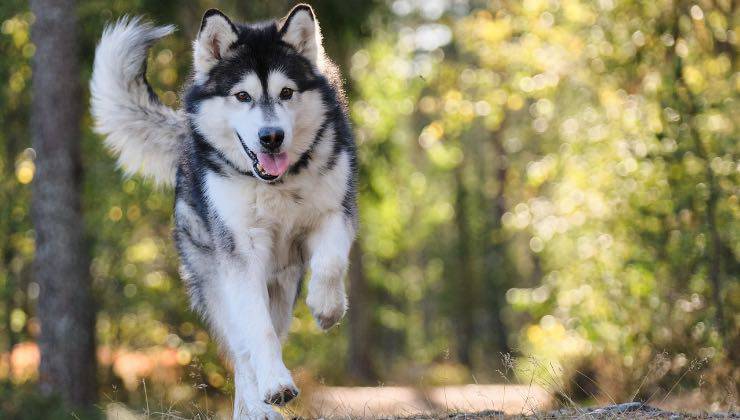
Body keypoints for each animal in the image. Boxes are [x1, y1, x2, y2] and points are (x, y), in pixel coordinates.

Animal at [89, 4, 356, 418]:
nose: (271, 137)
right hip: (217, 281)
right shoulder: (241, 255)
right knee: (244, 352)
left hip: (281, 286)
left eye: (286, 92)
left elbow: (330, 263)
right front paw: (275, 386)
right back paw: (259, 405)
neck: (276, 186)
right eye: (242, 95)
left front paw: (327, 308)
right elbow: (257, 332)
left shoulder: (335, 212)